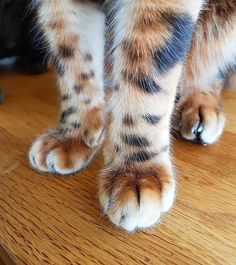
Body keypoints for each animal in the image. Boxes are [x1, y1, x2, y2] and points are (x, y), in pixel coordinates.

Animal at [28, 0, 236, 230]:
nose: (72, 134)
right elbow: (74, 65)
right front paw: (73, 135)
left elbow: (145, 84)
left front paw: (137, 174)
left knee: (209, 64)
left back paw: (200, 102)